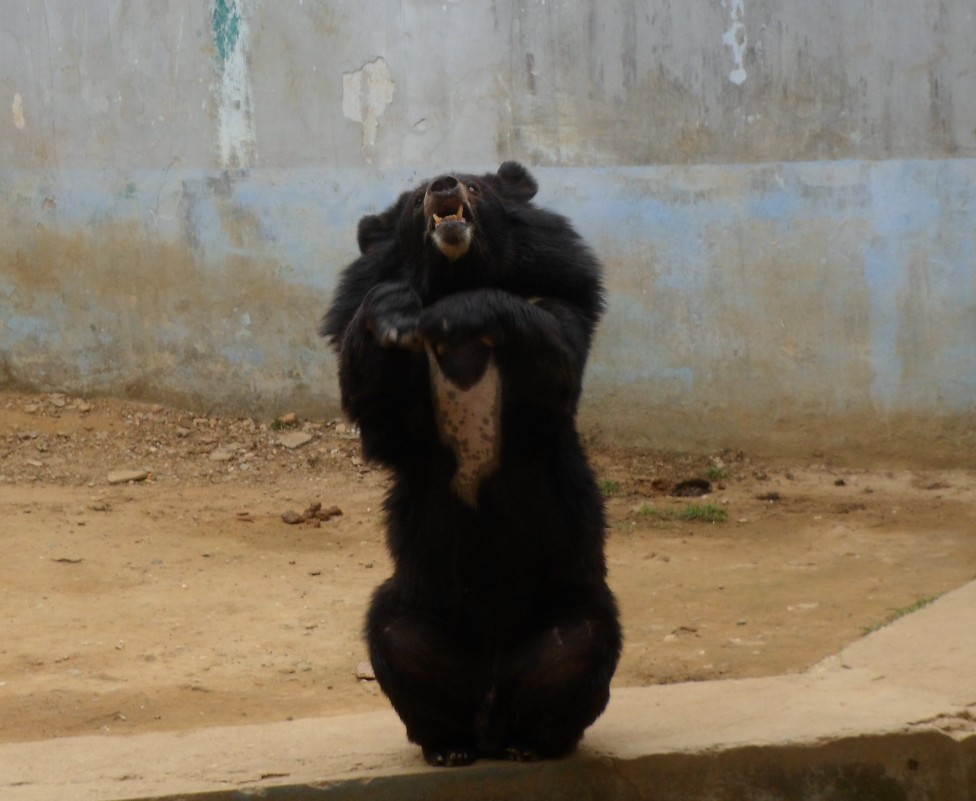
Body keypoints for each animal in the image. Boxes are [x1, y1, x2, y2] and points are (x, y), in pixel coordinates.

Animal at [324, 159, 620, 764]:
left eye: (475, 188)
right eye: (417, 198)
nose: (443, 186)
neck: (455, 274)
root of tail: (491, 713)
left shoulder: (558, 293)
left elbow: (554, 353)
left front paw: (461, 312)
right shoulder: (393, 401)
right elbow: (377, 404)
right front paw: (394, 312)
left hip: (569, 605)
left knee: (582, 642)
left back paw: (533, 745)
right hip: (422, 605)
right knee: (394, 634)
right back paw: (449, 747)